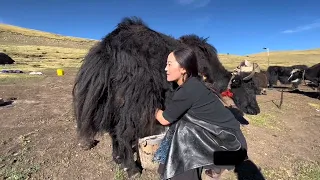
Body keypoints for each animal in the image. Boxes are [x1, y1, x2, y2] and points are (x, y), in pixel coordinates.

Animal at [72, 16, 260, 177]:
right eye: (248, 87)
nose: (256, 110)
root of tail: (109, 47)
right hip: (132, 101)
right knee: (123, 131)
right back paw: (132, 169)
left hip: (112, 99)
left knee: (113, 130)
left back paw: (117, 158)